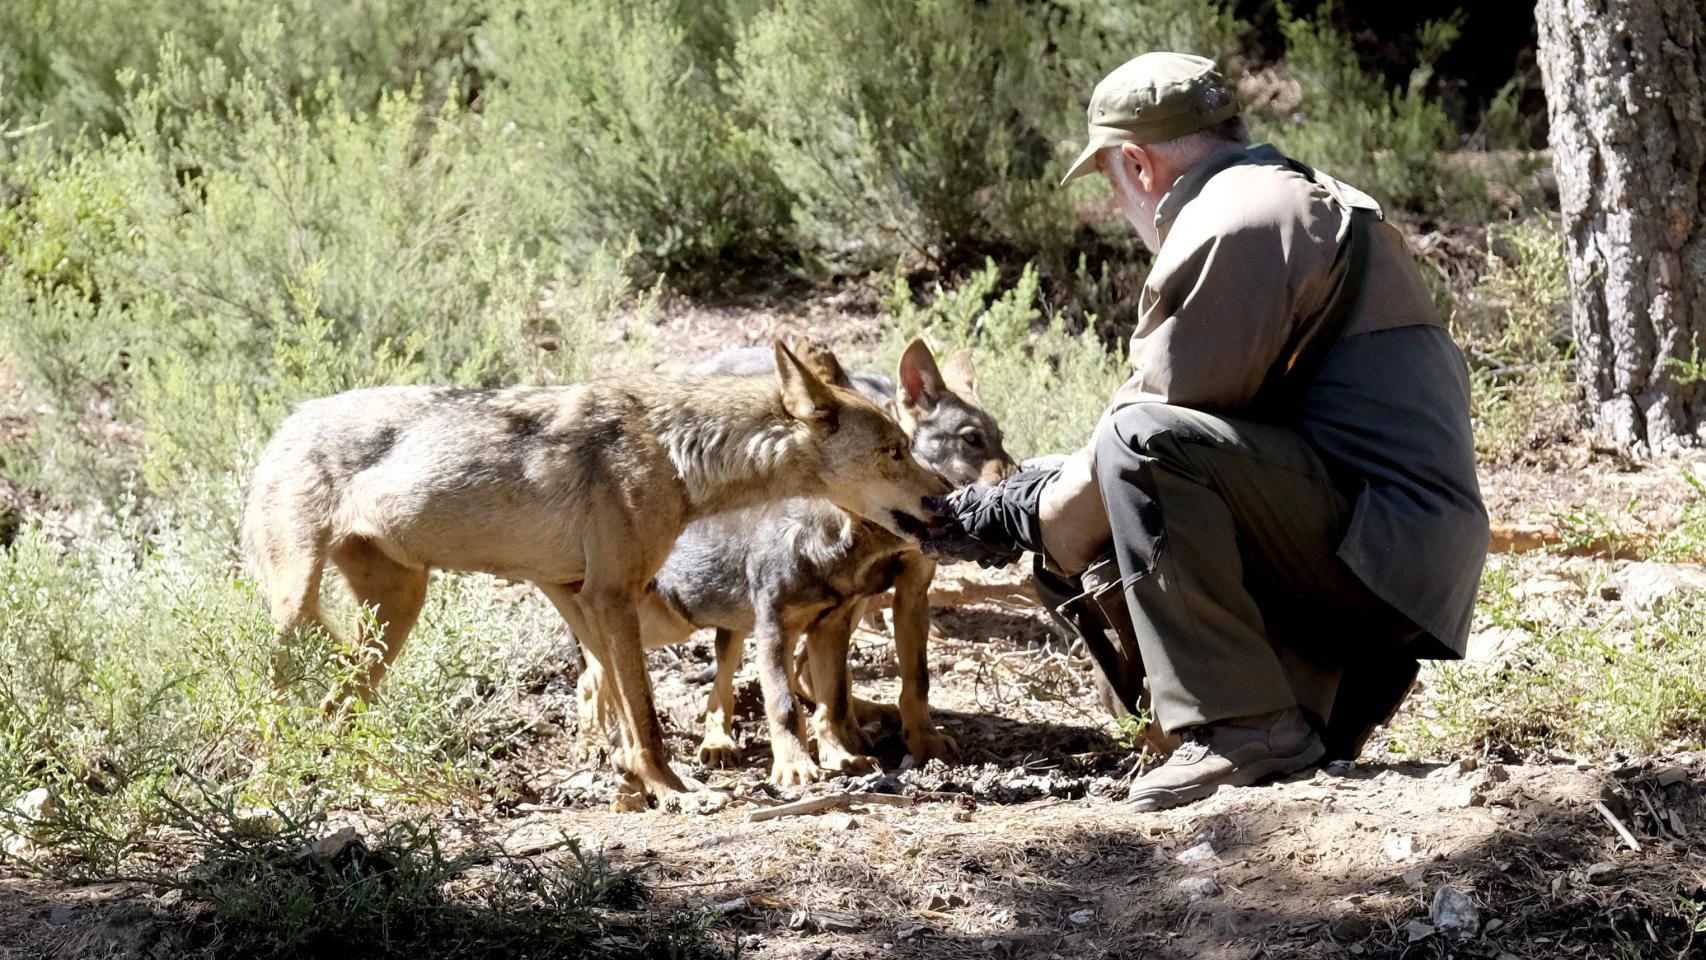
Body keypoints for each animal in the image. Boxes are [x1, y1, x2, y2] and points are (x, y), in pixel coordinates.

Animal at [245, 341, 955, 808]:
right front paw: (675, 791)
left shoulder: (582, 597)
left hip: (394, 617)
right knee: (274, 701)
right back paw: (270, 784)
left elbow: (618, 706)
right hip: (299, 616)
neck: (675, 452)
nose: (946, 497)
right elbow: (643, 713)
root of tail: (283, 423)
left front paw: (635, 780)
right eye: (894, 451)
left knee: (337, 706)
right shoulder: (612, 596)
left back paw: (343, 778)